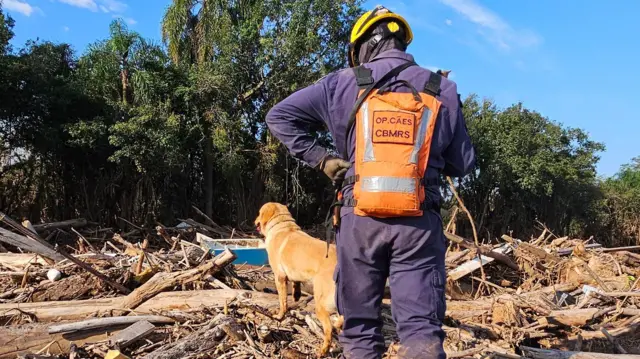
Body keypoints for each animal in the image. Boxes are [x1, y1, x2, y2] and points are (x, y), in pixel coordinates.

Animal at [256, 202, 344, 358]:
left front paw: (279, 316)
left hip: (321, 305)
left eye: (259, 213)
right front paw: (296, 295)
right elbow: (296, 283)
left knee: (329, 329)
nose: (254, 223)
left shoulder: (279, 277)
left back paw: (323, 350)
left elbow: (282, 302)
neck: (283, 227)